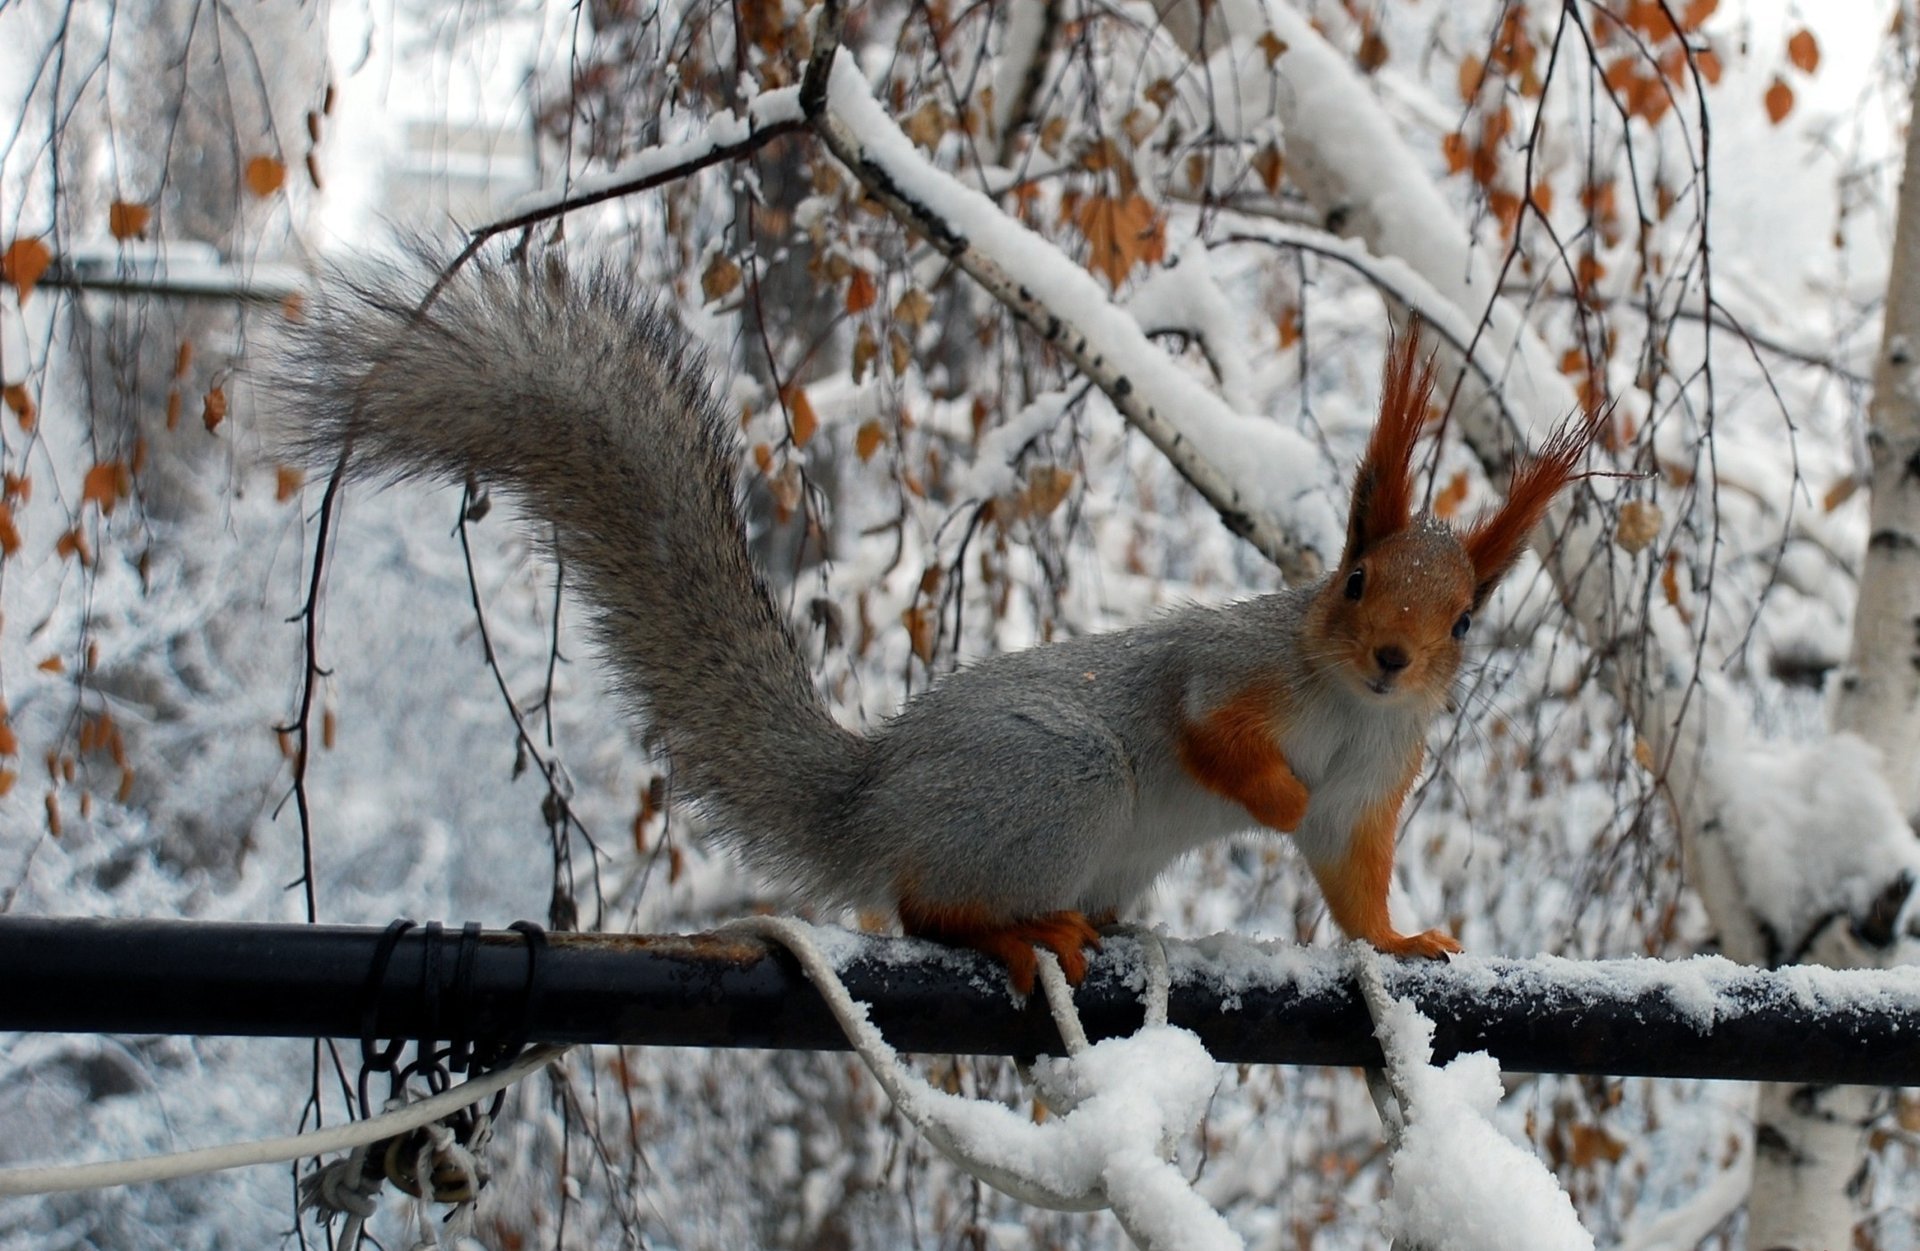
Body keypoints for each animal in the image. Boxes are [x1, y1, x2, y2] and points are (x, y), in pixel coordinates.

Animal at [278, 251, 1597, 997]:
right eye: (1356, 581)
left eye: (1466, 620)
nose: (1391, 660)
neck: (1340, 703)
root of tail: (876, 797)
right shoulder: (1229, 667)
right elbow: (1209, 732)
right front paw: (1265, 794)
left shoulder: (1373, 779)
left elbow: (1348, 874)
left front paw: (1401, 943)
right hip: (1059, 782)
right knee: (926, 906)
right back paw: (1016, 933)